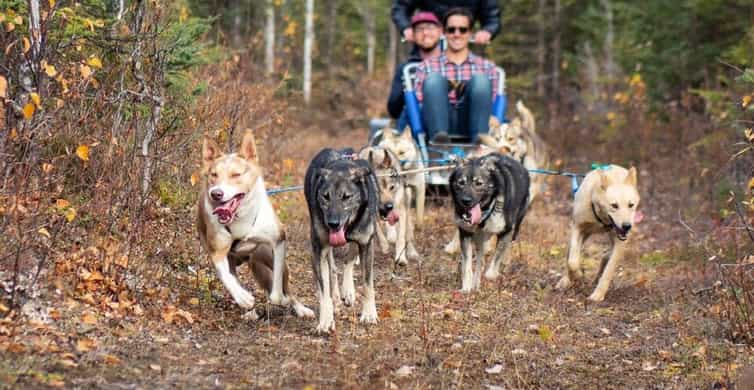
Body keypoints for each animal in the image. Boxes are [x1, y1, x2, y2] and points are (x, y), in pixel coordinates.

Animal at [198, 129, 312, 318]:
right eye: (213, 175)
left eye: (236, 175)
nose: (216, 193)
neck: (240, 218)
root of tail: (247, 258)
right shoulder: (217, 252)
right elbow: (224, 275)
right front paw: (243, 298)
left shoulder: (278, 242)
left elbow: (276, 292)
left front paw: (280, 299)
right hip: (236, 262)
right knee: (233, 276)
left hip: (267, 257)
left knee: (287, 289)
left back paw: (300, 308)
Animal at [302, 148, 378, 334]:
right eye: (325, 196)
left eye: (346, 197)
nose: (333, 223)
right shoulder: (319, 249)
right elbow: (324, 289)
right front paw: (325, 321)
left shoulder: (366, 244)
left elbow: (367, 283)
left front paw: (369, 314)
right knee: (332, 270)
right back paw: (336, 297)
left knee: (348, 259)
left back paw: (348, 291)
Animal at [446, 152, 528, 292]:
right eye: (461, 183)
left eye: (479, 183)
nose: (466, 201)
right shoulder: (466, 234)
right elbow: (467, 266)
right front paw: (467, 287)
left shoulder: (506, 231)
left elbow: (495, 260)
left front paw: (492, 274)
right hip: (479, 238)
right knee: (480, 258)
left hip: (515, 226)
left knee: (507, 246)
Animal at [556, 165, 636, 302]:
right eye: (614, 205)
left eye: (631, 205)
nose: (627, 226)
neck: (601, 220)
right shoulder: (577, 228)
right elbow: (572, 262)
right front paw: (577, 276)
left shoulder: (620, 242)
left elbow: (609, 270)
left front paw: (598, 295)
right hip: (582, 235)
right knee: (570, 256)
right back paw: (566, 280)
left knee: (606, 256)